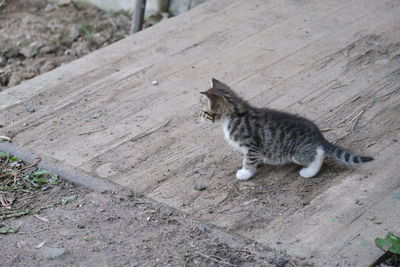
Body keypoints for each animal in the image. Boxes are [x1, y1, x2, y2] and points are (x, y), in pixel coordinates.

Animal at [202, 78, 374, 181]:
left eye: (205, 111)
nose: (199, 115)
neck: (236, 113)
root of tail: (318, 136)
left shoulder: (251, 144)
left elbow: (248, 160)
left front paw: (245, 173)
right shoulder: (255, 148)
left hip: (296, 152)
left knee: (318, 153)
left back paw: (309, 172)